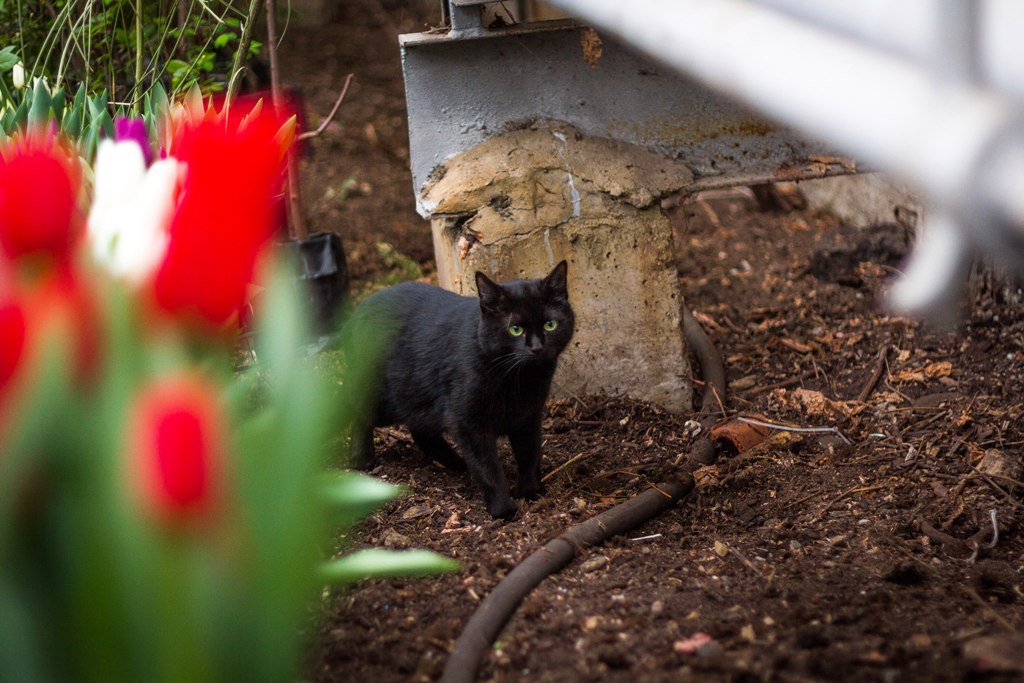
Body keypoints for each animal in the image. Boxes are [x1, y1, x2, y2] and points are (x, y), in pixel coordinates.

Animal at [346, 262, 577, 518]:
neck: (518, 379)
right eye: (515, 329)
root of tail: (359, 310)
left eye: (550, 324)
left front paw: (530, 491)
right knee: (358, 413)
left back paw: (456, 463)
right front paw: (502, 508)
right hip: (384, 397)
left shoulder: (528, 417)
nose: (537, 348)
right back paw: (361, 460)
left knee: (421, 432)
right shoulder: (469, 422)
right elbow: (487, 468)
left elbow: (530, 454)